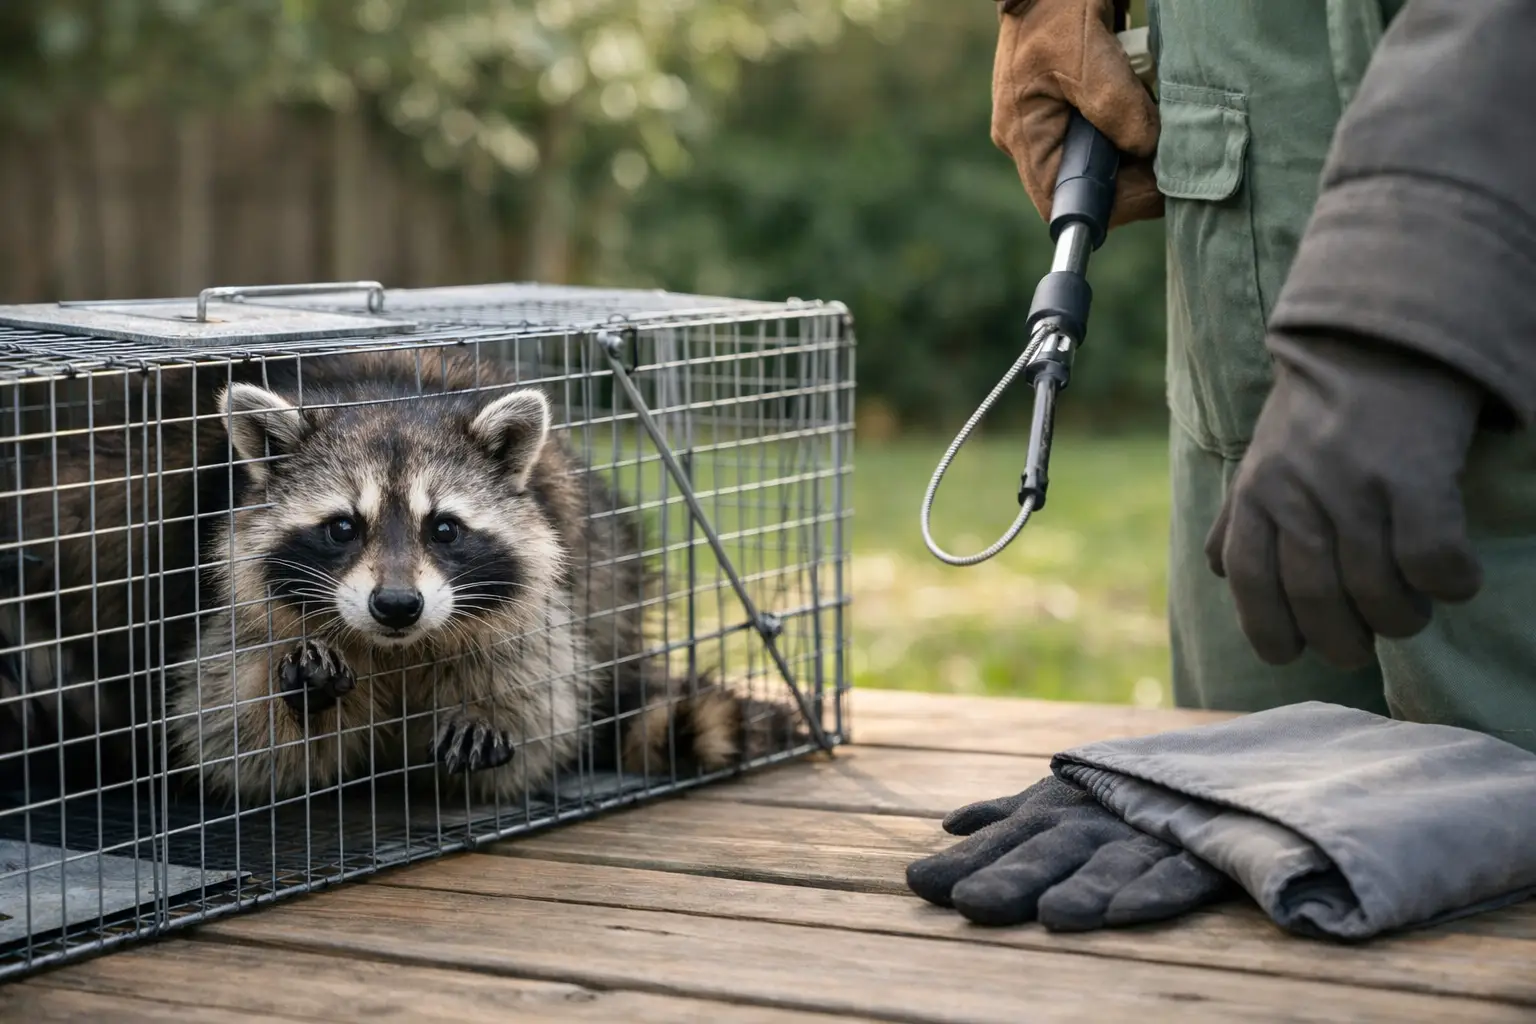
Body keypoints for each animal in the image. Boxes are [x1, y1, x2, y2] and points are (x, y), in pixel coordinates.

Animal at [0, 347, 801, 807]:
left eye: (443, 528)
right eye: (341, 527)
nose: (395, 605)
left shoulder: (539, 609)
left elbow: (542, 720)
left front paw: (493, 720)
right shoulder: (218, 593)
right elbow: (236, 740)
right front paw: (297, 691)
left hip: (607, 560)